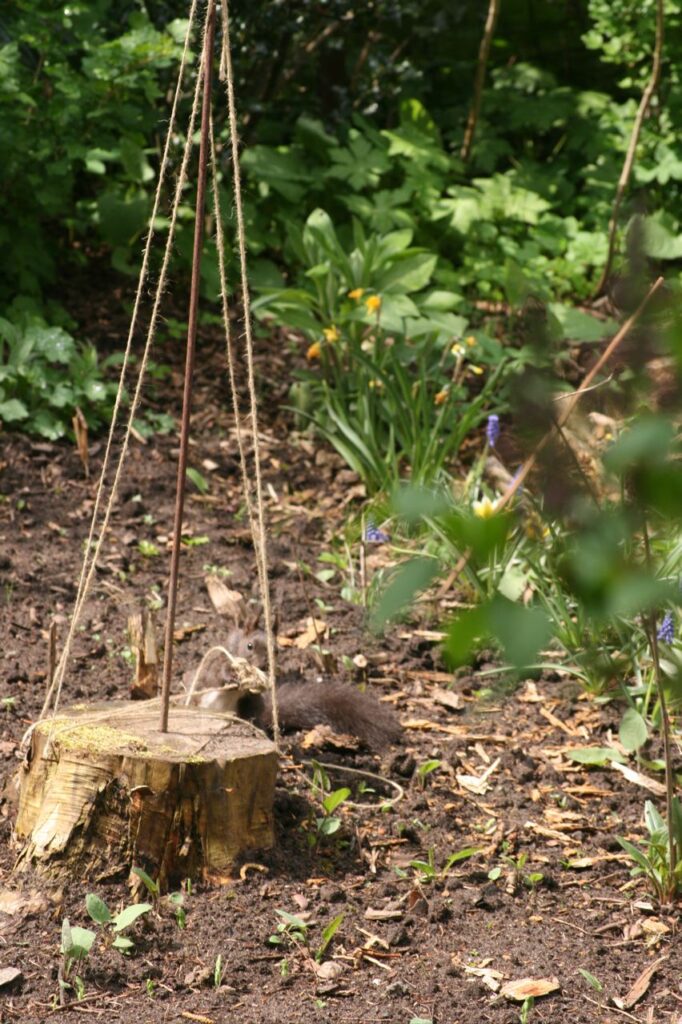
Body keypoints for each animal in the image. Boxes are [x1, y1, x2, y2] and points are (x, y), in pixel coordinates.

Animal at [183, 625, 399, 750]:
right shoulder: (215, 664)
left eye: (276, 650)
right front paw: (231, 677)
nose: (265, 665)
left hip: (249, 711)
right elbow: (216, 676)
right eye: (250, 646)